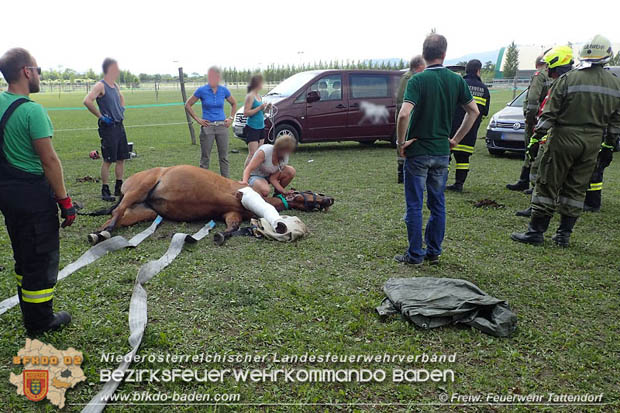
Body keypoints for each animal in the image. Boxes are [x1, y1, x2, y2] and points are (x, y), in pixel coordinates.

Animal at [88, 163, 334, 241]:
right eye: (310, 192)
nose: (330, 199)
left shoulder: (230, 214)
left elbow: (233, 228)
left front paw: (222, 235)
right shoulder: (242, 195)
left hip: (145, 210)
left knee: (117, 215)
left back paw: (101, 233)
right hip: (140, 187)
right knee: (117, 212)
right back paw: (104, 231)